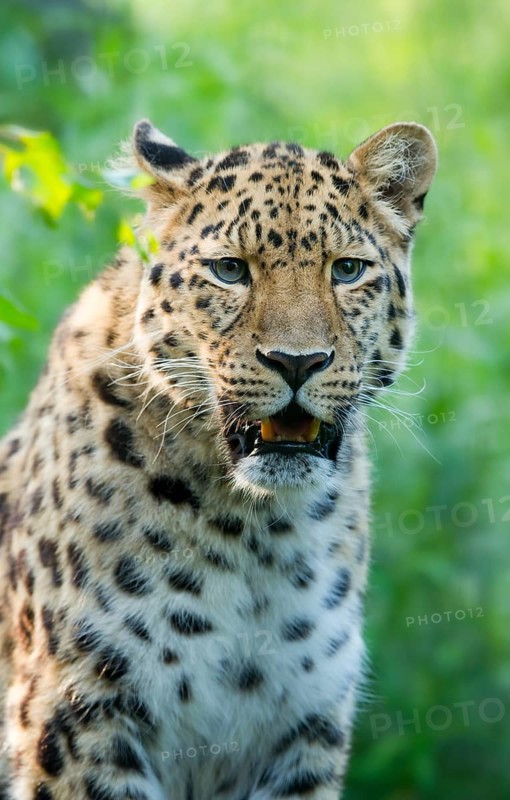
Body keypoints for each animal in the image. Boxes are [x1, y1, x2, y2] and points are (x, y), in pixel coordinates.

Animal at [0, 117, 437, 799]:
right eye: (230, 270)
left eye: (347, 270)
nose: (296, 362)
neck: (257, 530)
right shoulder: (77, 720)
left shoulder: (303, 732)